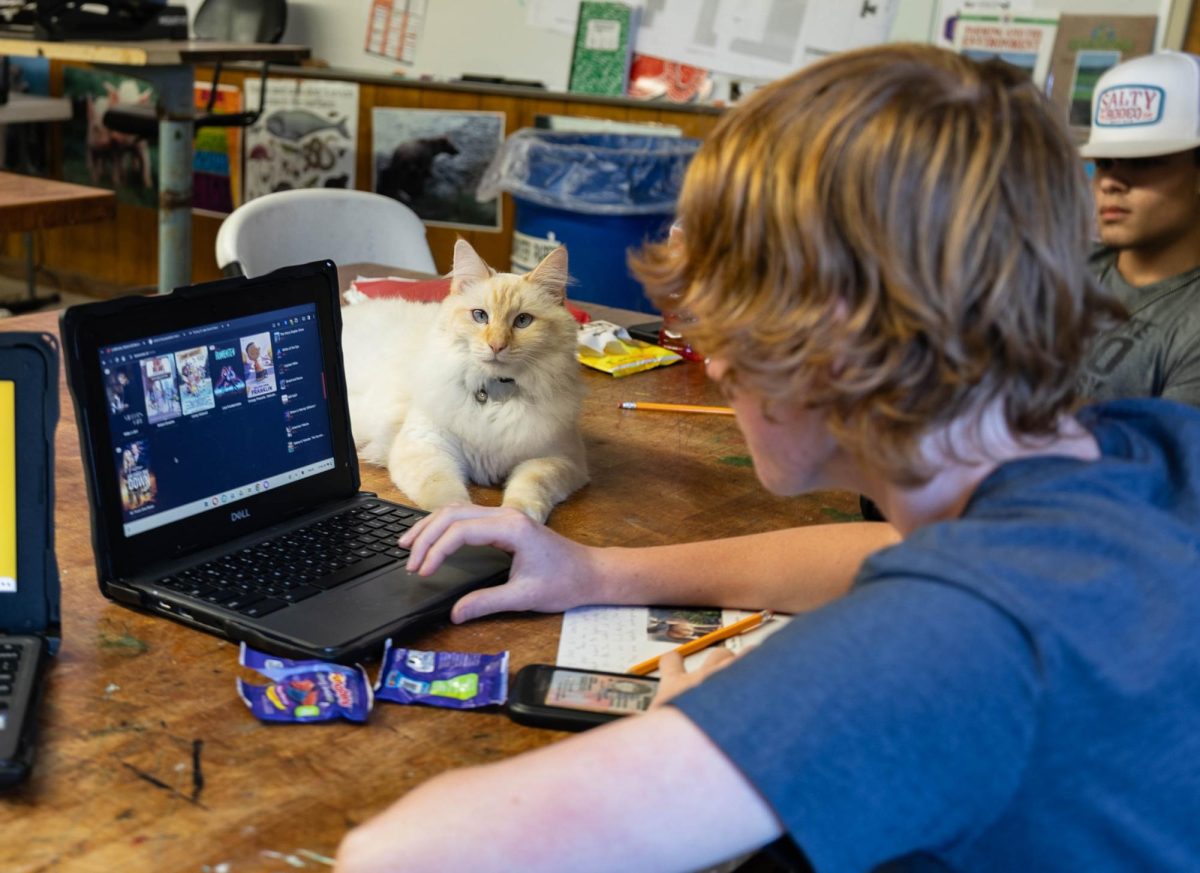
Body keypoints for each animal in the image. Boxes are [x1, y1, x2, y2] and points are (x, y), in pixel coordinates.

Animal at [340, 238, 588, 522]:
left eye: (523, 321)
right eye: (480, 316)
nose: (496, 345)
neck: (494, 393)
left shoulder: (556, 458)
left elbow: (526, 493)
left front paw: (512, 523)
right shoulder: (426, 446)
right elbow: (447, 496)